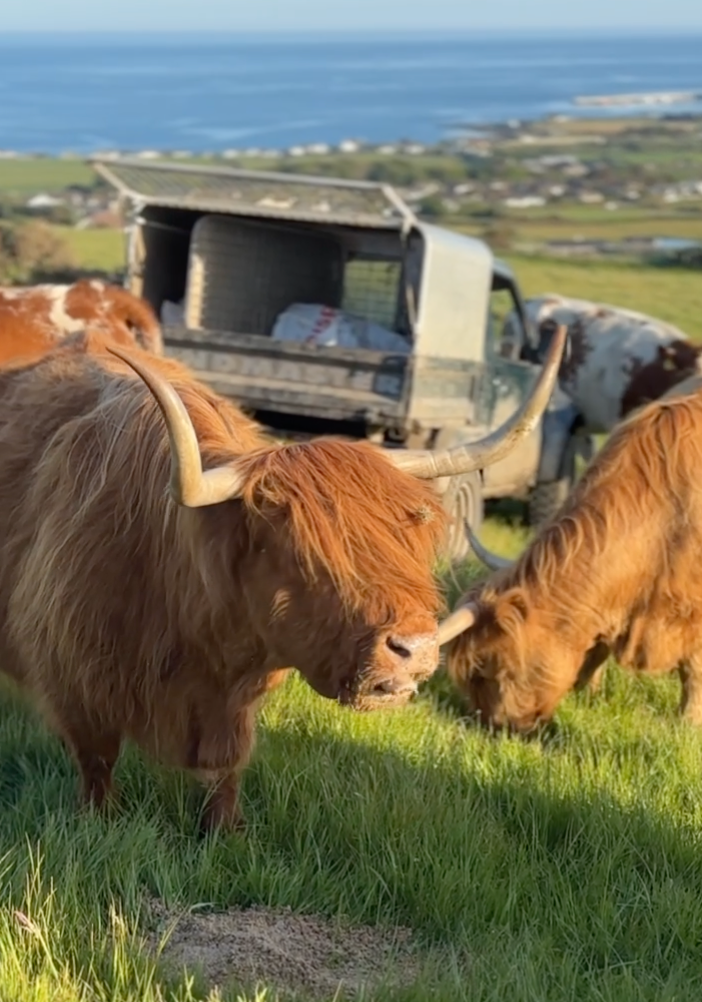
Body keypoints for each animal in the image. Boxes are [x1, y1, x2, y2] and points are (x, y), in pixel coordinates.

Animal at [0, 325, 565, 831]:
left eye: (407, 536)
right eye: (302, 551)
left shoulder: (234, 701)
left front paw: (225, 831)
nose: (417, 648)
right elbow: (97, 764)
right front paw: (99, 822)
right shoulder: (74, 677)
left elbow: (226, 767)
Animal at [437, 372, 702, 734]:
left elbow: (694, 670)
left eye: (489, 666)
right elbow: (597, 647)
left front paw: (688, 722)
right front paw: (588, 692)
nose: (496, 725)